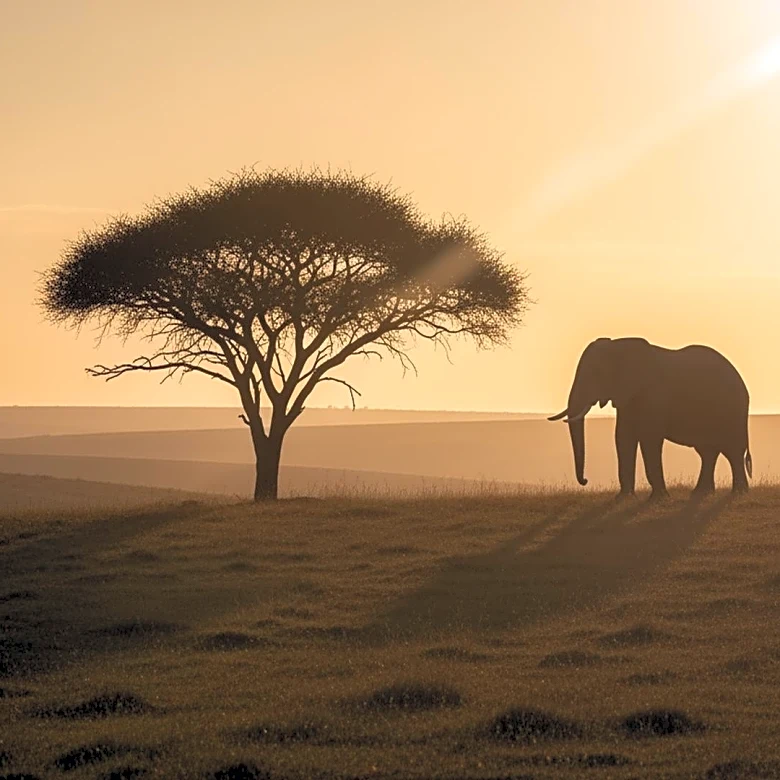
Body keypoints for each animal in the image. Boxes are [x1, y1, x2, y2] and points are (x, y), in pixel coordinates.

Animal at [548, 337, 752, 499]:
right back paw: (701, 493)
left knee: (732, 450)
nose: (585, 480)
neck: (619, 345)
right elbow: (623, 437)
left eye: (596, 373)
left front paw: (659, 498)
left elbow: (649, 438)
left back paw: (738, 493)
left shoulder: (654, 395)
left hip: (733, 410)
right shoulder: (628, 398)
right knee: (708, 451)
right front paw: (624, 498)